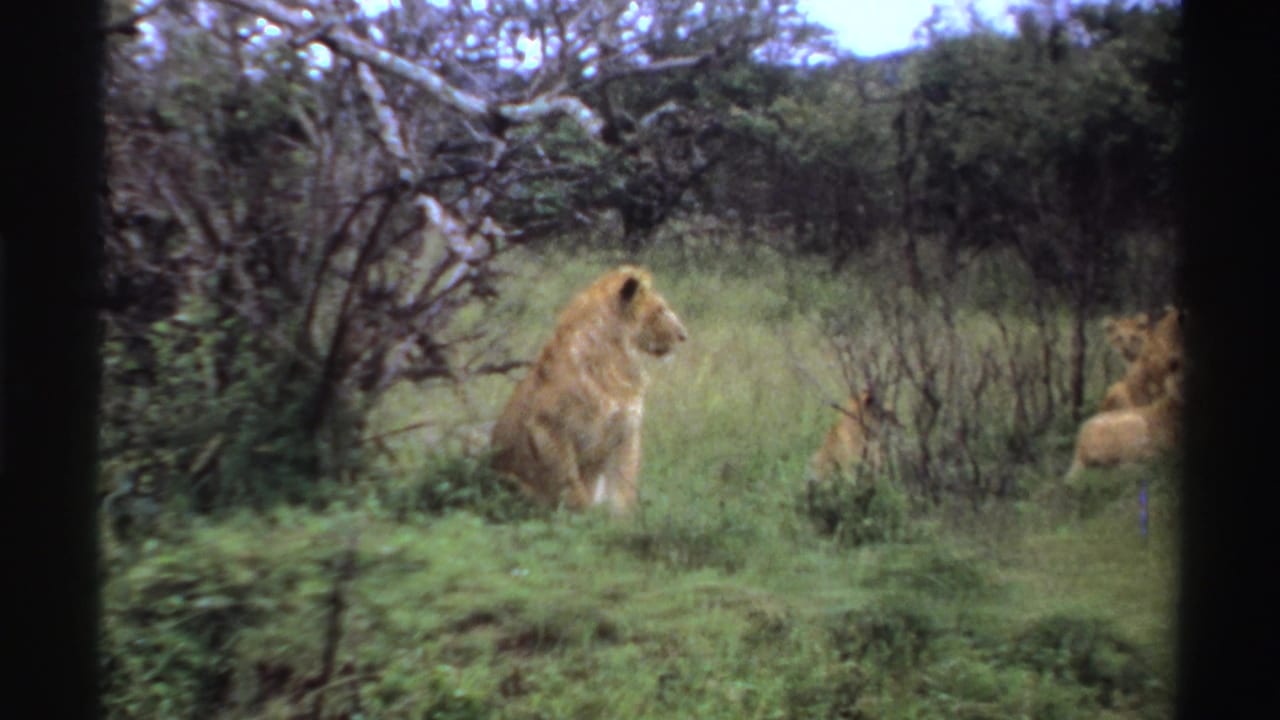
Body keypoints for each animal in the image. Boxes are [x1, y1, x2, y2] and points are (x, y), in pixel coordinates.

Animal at [489, 265, 687, 515]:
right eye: (661, 310)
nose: (684, 335)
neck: (616, 359)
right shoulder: (548, 427)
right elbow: (570, 484)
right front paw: (584, 516)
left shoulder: (626, 432)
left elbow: (623, 488)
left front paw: (622, 519)